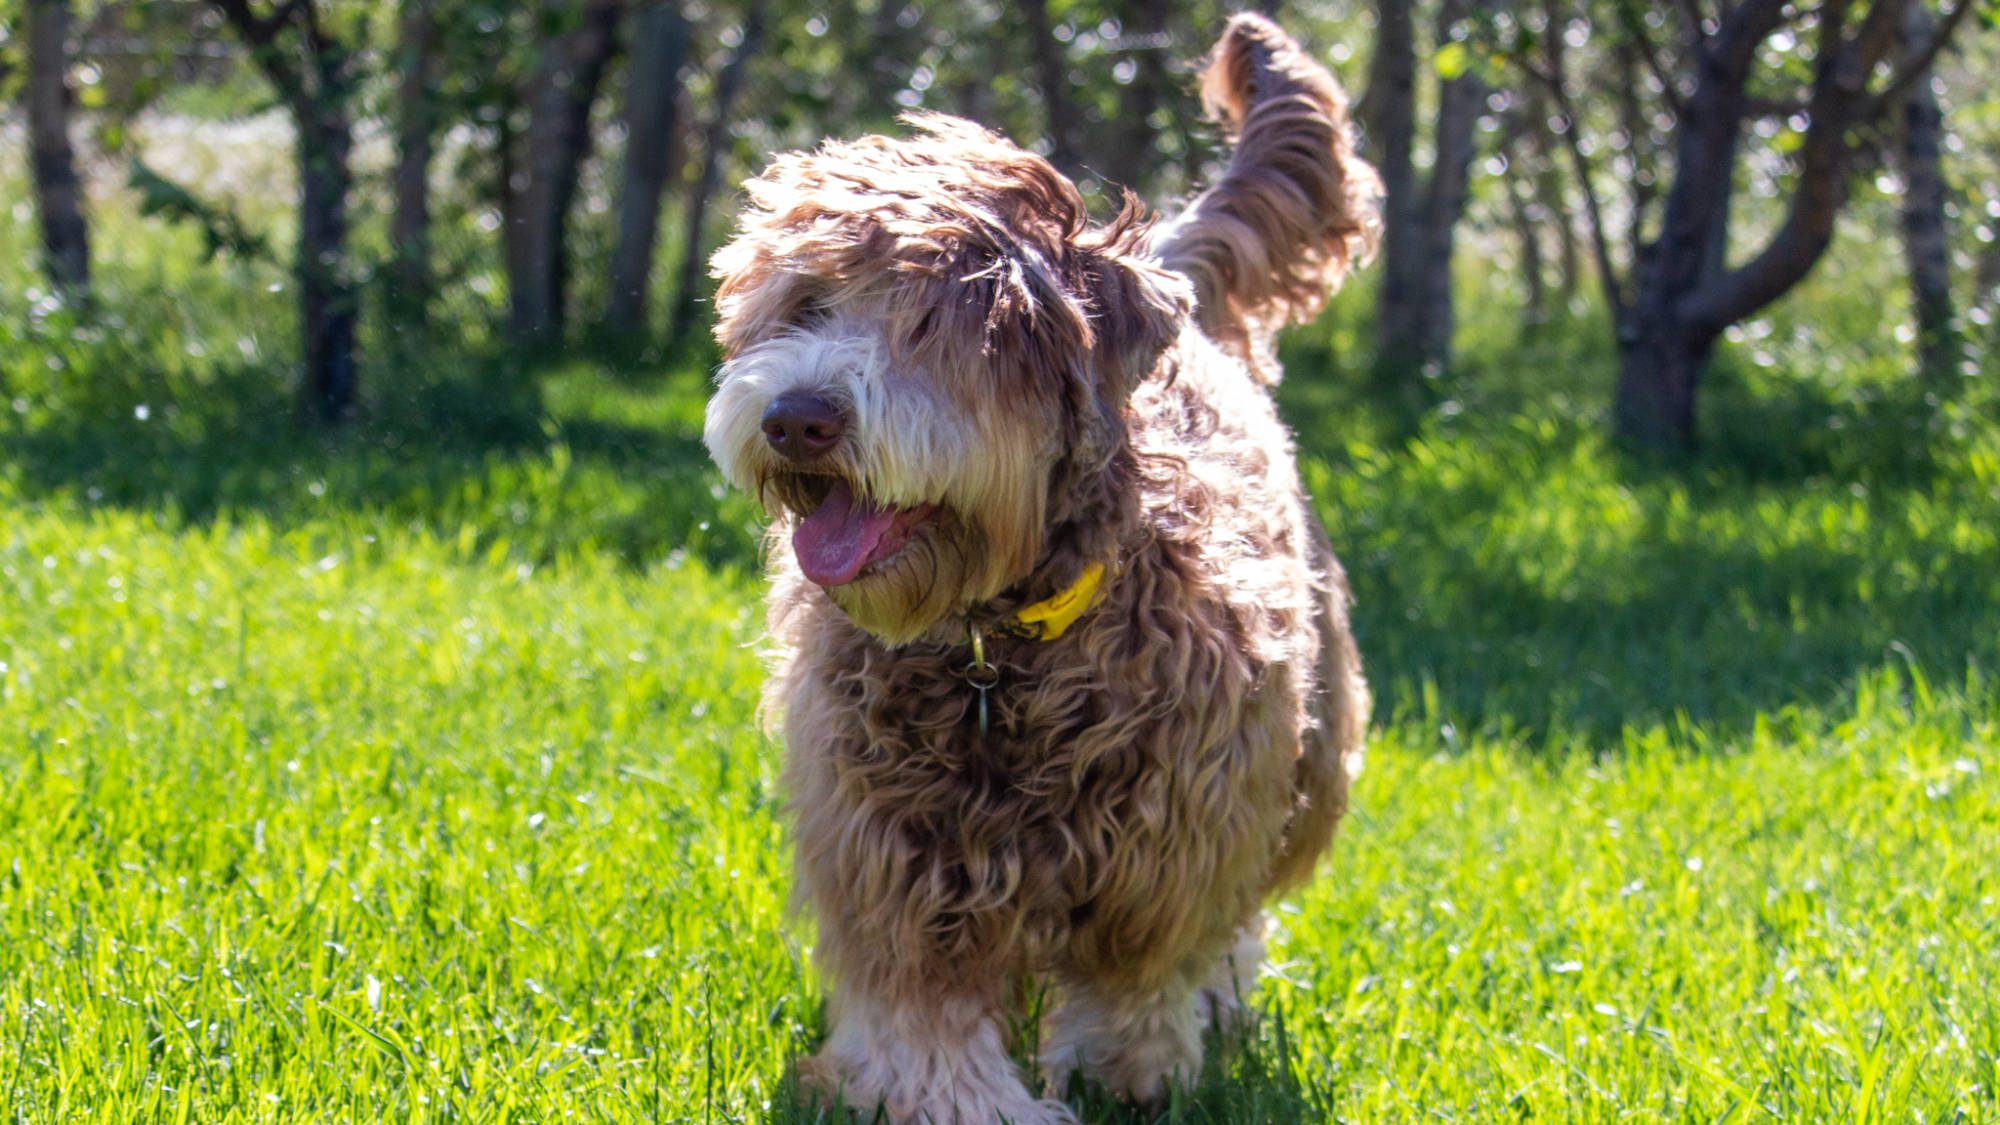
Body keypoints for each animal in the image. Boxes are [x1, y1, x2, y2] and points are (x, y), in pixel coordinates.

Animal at [700, 13, 1376, 1112]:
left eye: (934, 322)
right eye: (804, 305)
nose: (795, 418)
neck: (993, 647)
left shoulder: (1171, 832)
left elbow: (1139, 980)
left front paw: (1129, 1073)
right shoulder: (888, 849)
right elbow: (920, 1022)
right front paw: (961, 1100)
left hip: (1308, 752)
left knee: (1238, 911)